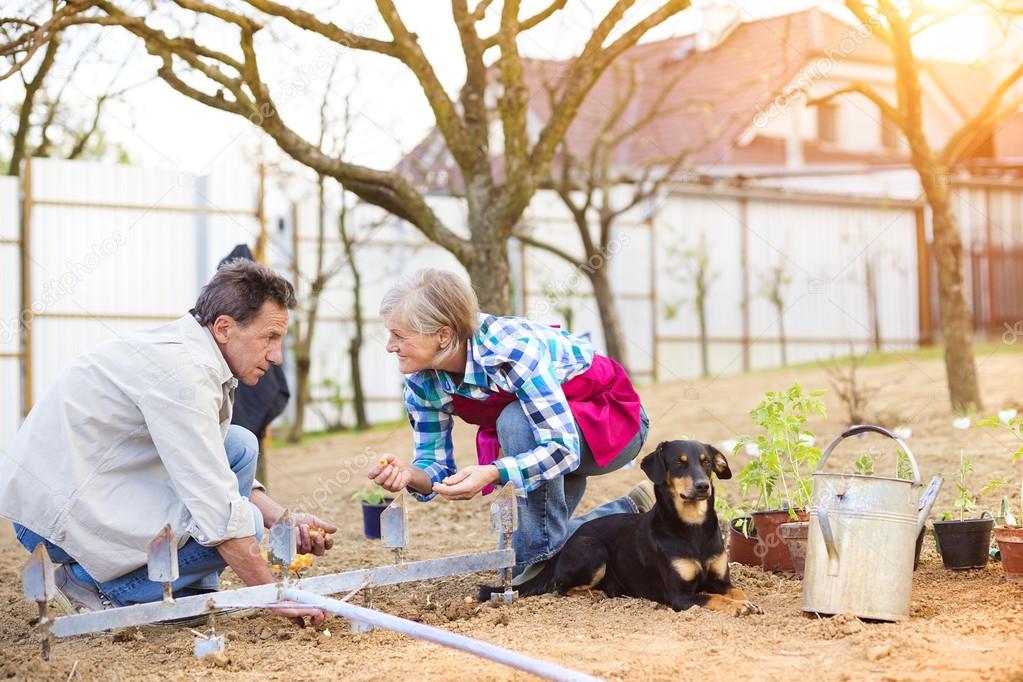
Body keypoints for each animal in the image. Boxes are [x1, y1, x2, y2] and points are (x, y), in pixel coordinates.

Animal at [482, 439, 765, 617]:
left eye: (706, 463)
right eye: (678, 463)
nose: (702, 486)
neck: (693, 527)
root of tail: (566, 544)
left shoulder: (721, 580)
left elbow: (737, 590)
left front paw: (748, 601)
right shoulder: (680, 595)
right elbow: (714, 598)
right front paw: (738, 607)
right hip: (593, 548)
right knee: (561, 588)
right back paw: (594, 594)